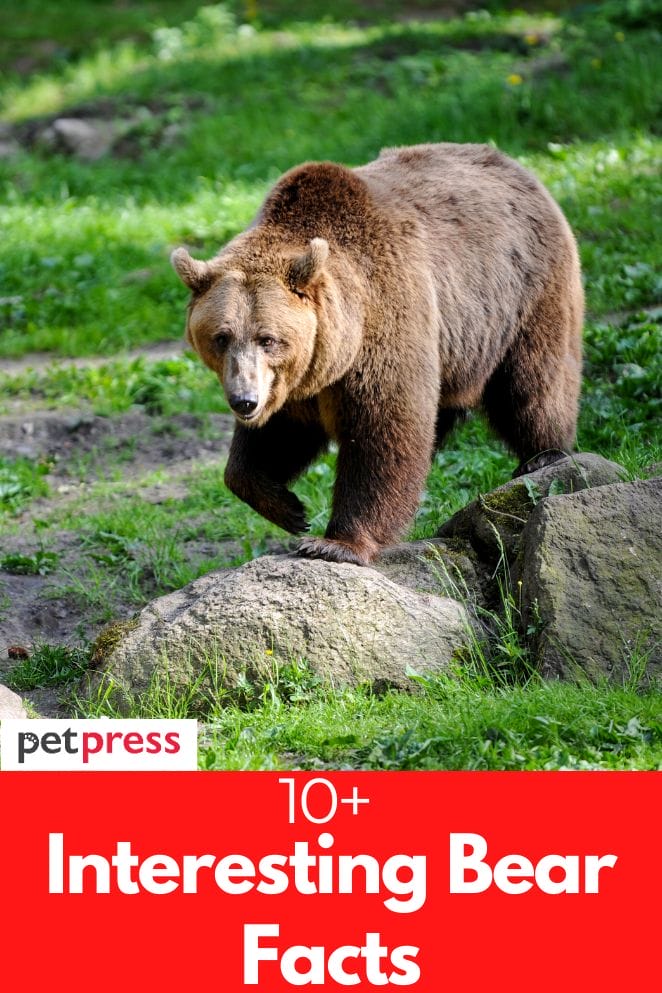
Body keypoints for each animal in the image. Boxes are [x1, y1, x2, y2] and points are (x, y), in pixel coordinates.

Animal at [171, 142, 583, 566]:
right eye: (221, 337)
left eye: (267, 338)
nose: (244, 401)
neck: (337, 348)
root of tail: (514, 165)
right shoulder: (294, 382)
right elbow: (273, 440)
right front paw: (289, 508)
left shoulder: (384, 322)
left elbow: (384, 430)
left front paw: (334, 542)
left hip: (523, 294)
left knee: (532, 382)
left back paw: (544, 455)